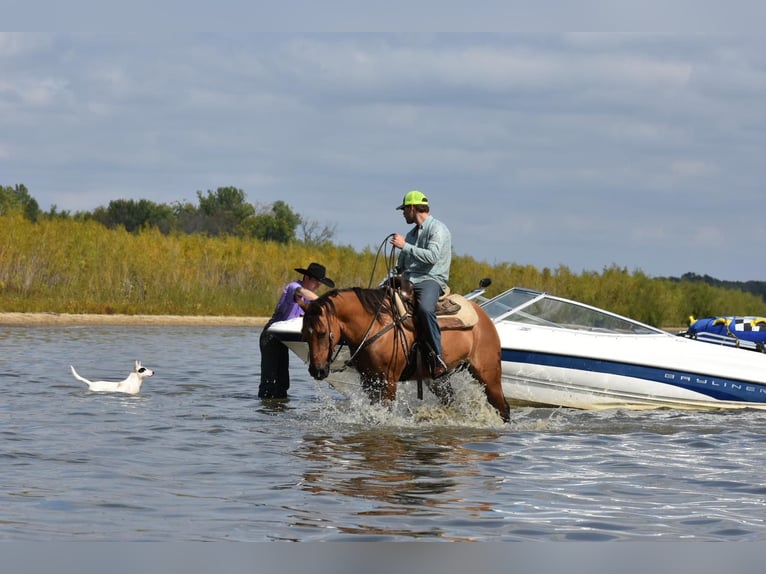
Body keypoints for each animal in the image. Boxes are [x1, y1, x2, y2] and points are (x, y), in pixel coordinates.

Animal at [300, 282, 510, 424]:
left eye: (322, 333)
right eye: (304, 334)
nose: (316, 370)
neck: (375, 324)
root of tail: (483, 316)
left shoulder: (388, 380)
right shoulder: (369, 380)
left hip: (487, 374)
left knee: (503, 407)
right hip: (439, 380)